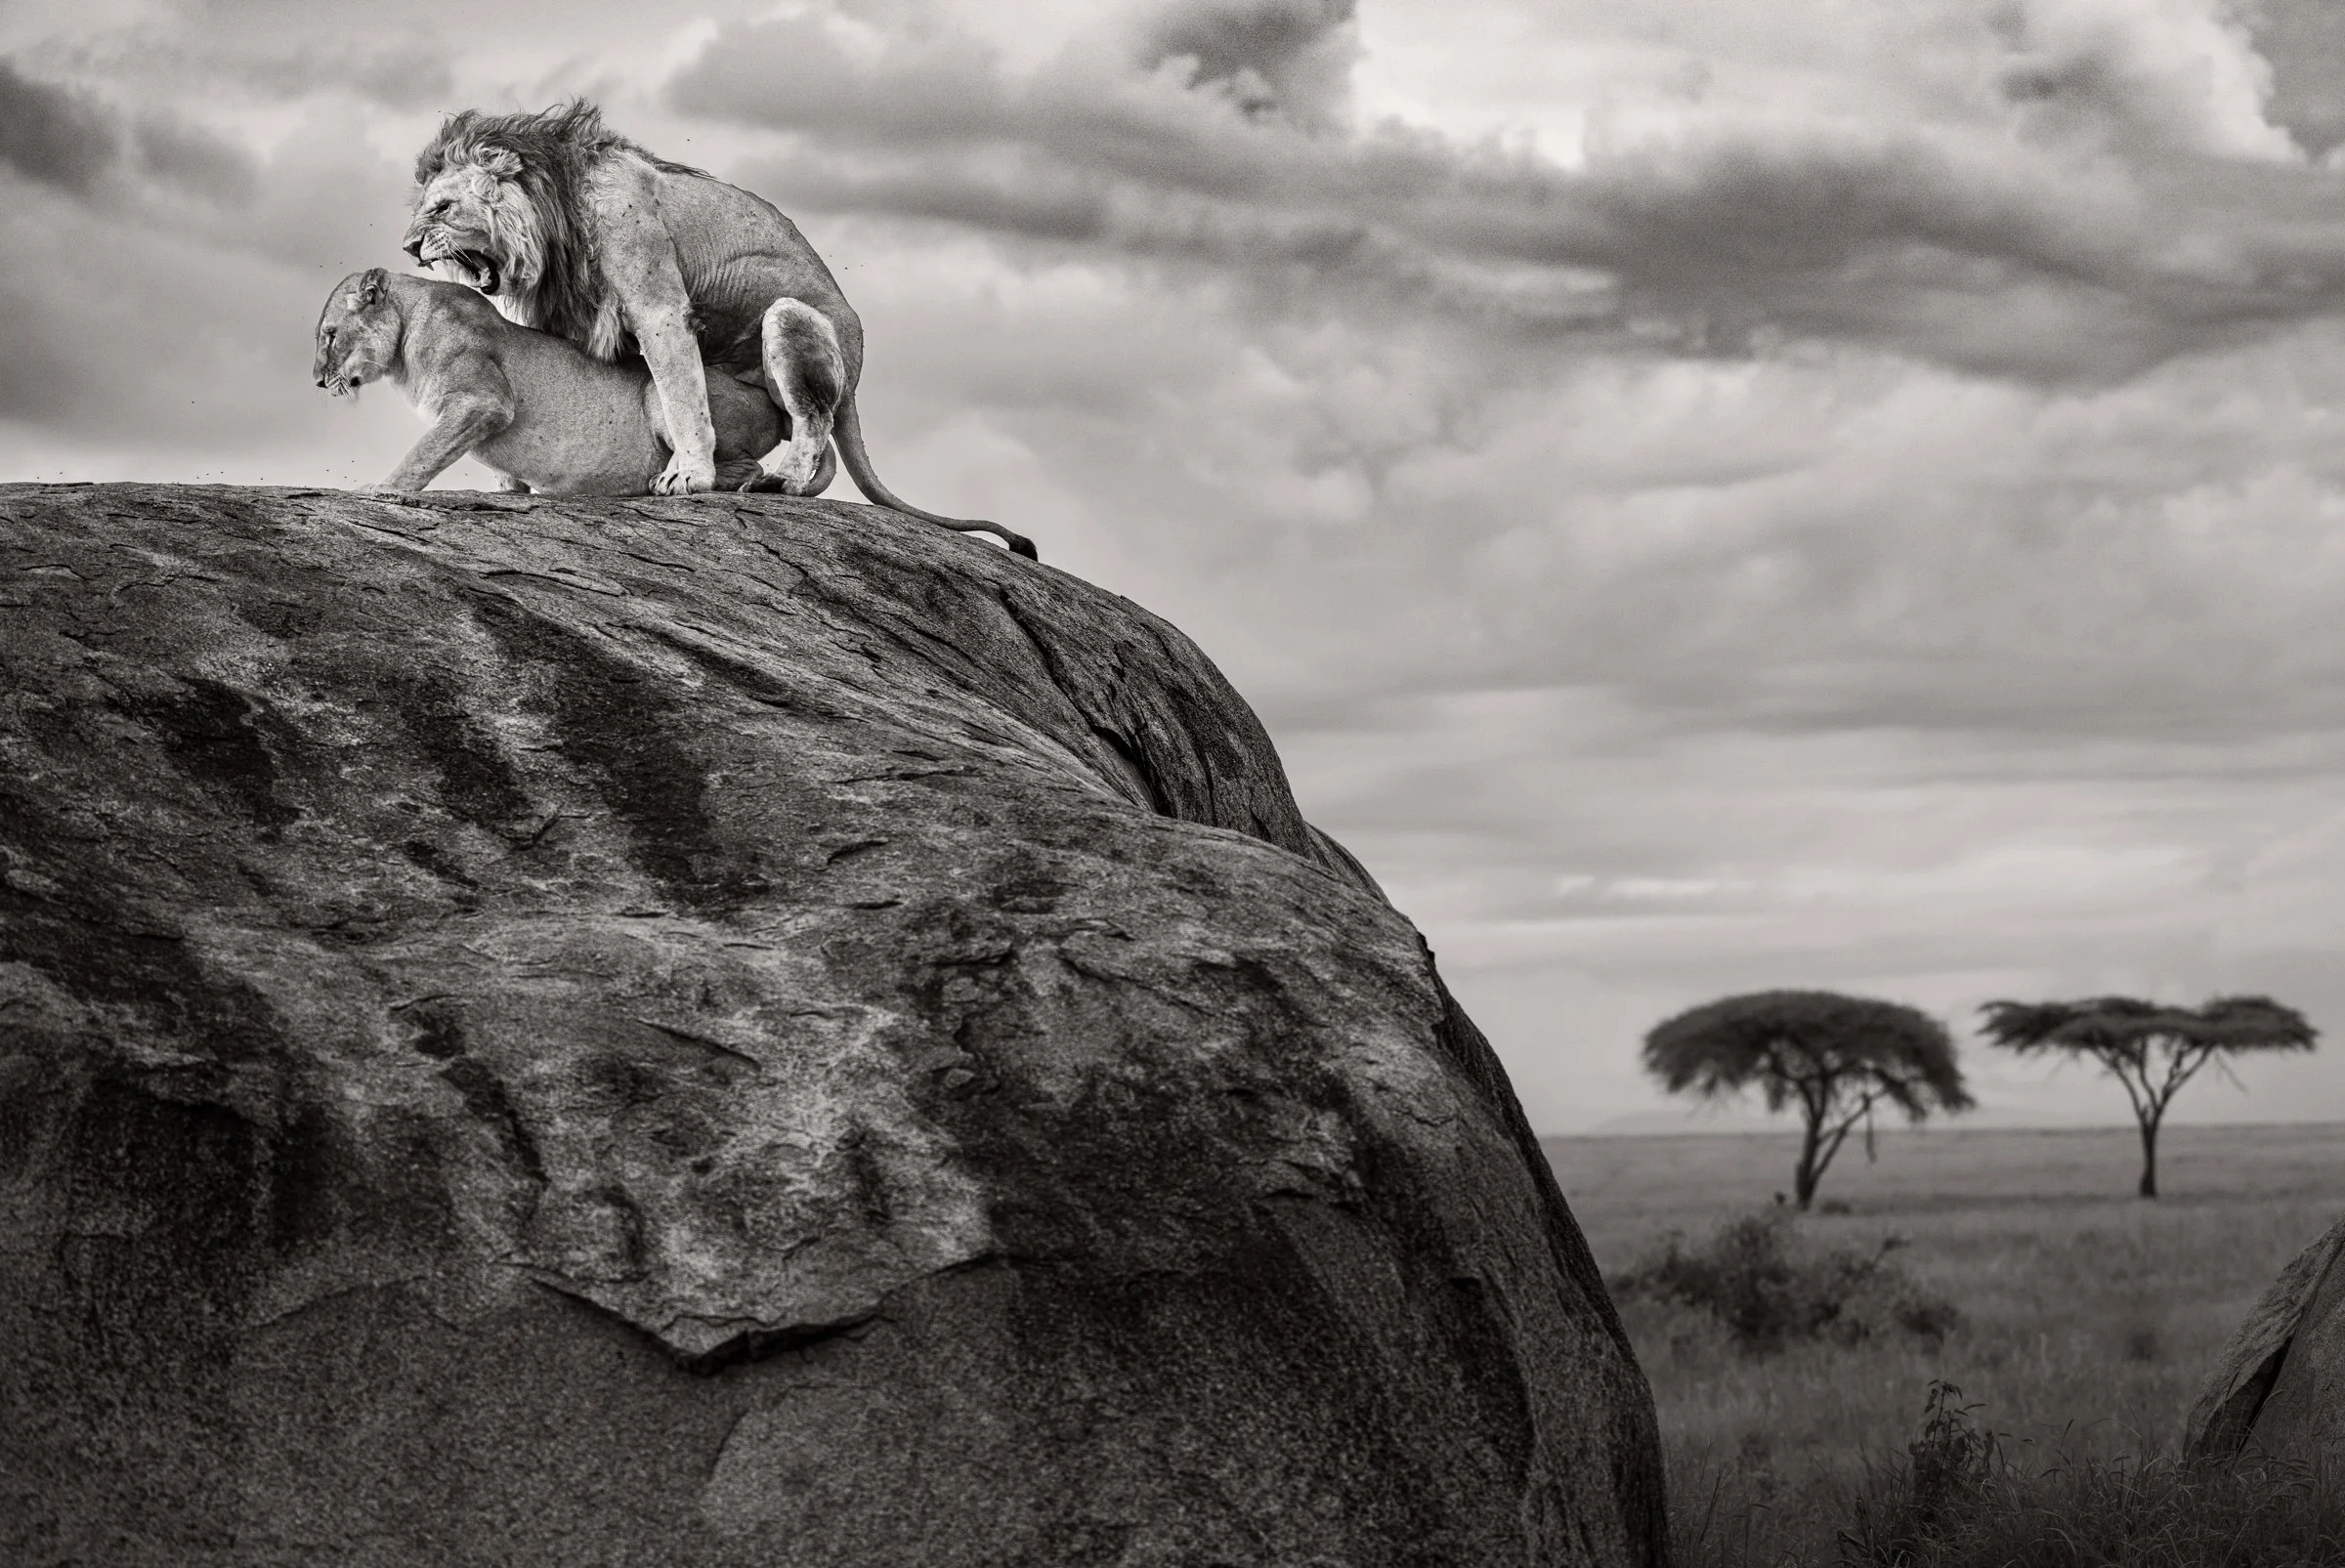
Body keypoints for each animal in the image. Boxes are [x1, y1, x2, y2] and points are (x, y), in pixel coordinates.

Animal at [312, 267, 792, 497]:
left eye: (330, 334)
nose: (316, 381)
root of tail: (765, 399)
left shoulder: (483, 399)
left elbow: (425, 451)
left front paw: (385, 487)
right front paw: (511, 491)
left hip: (659, 394)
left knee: (746, 466)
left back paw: (673, 480)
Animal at [401, 100, 1036, 559]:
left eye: (440, 208)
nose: (408, 246)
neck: (550, 216)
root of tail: (857, 374)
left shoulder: (657, 302)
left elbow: (683, 397)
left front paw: (689, 476)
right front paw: (511, 484)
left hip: (789, 317)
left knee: (814, 420)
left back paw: (779, 484)